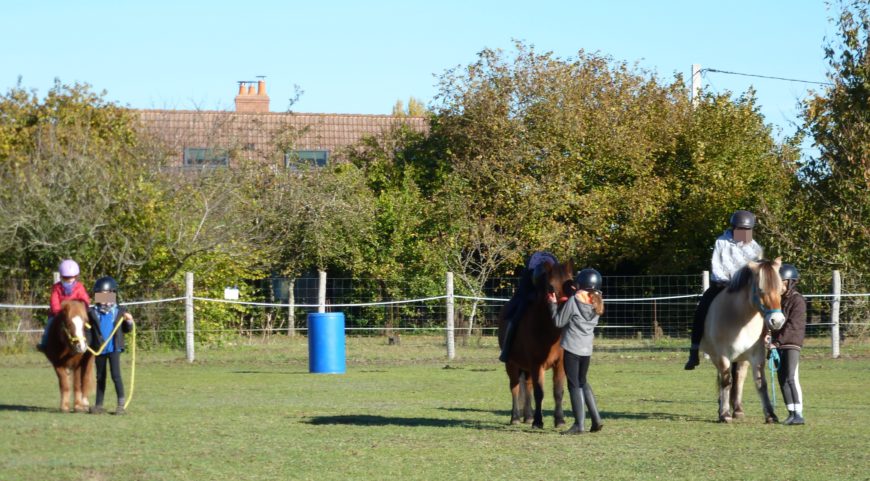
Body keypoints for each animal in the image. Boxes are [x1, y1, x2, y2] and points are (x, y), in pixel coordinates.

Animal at [498, 260, 580, 426]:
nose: (565, 311)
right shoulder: (537, 365)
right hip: (511, 364)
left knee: (527, 386)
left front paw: (559, 420)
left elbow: (558, 392)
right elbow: (539, 393)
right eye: (551, 287)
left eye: (572, 285)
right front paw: (538, 421)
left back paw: (528, 416)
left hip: (527, 368)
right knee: (515, 387)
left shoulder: (559, 364)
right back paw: (515, 417)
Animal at [700, 256, 792, 422]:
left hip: (742, 359)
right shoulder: (722, 356)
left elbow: (761, 383)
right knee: (725, 378)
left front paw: (770, 415)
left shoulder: (757, 356)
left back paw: (738, 409)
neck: (739, 319)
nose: (777, 321)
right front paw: (724, 414)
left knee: (739, 378)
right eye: (761, 290)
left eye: (780, 290)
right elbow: (726, 381)